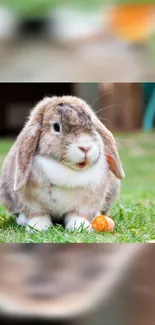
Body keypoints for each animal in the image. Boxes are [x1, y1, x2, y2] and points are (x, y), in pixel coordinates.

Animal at [0, 95, 124, 232]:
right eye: (56, 127)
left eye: (92, 124)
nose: (85, 147)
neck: (67, 169)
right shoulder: (31, 203)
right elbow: (38, 214)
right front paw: (38, 227)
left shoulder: (87, 203)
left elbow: (78, 215)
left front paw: (79, 227)